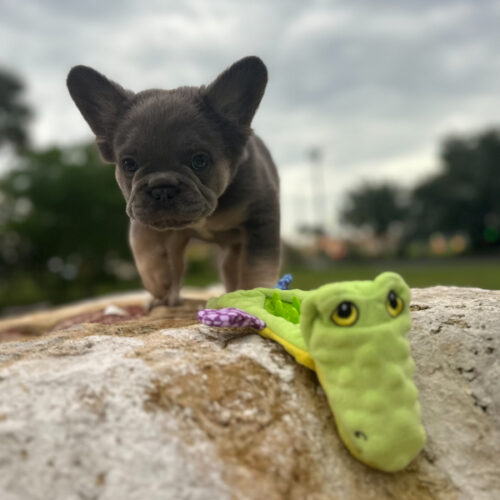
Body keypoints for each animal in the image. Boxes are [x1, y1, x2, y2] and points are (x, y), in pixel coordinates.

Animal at [65, 54, 282, 304]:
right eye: (129, 164)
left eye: (200, 160)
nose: (161, 187)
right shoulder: (140, 211)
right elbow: (141, 243)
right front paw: (157, 281)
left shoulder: (261, 221)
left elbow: (256, 267)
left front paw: (253, 296)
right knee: (177, 265)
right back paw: (168, 296)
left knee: (231, 269)